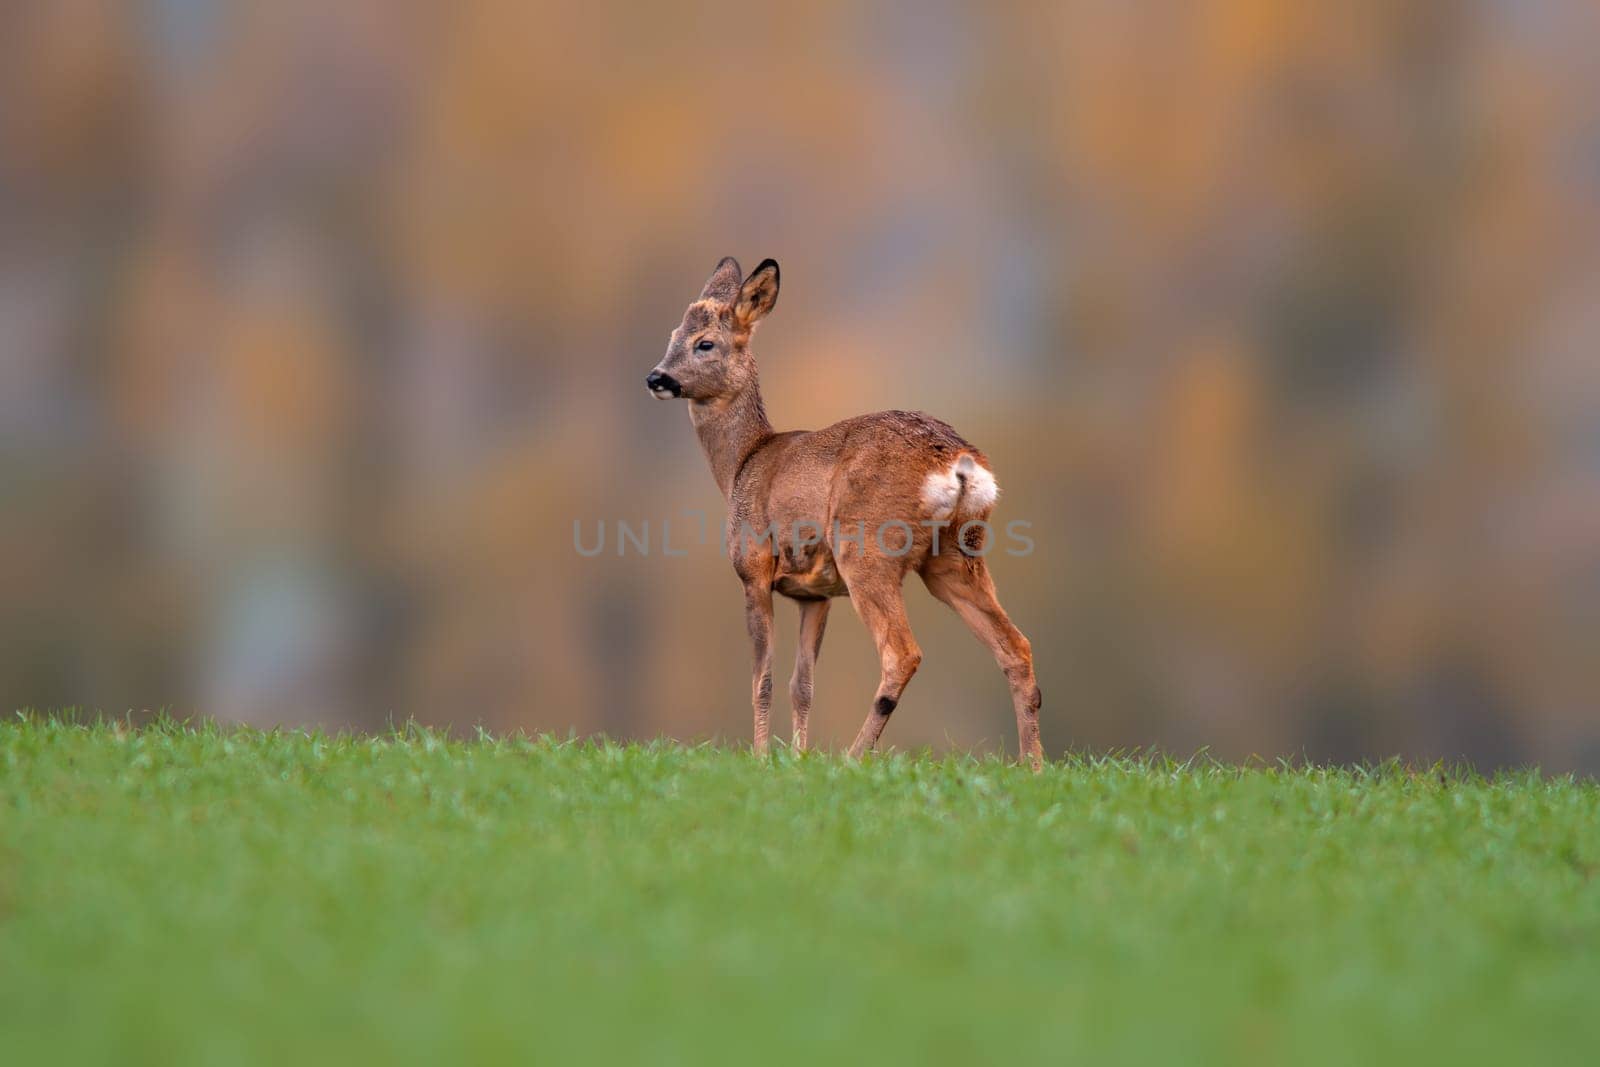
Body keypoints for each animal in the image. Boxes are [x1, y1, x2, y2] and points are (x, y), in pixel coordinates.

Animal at [643, 260, 1043, 777]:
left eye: (704, 343)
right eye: (674, 334)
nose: (656, 377)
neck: (741, 465)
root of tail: (961, 463)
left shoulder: (753, 569)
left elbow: (763, 679)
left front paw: (761, 759)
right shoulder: (815, 594)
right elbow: (802, 685)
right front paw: (798, 757)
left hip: (867, 548)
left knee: (902, 653)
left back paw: (854, 758)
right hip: (956, 556)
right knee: (1016, 647)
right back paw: (1034, 766)